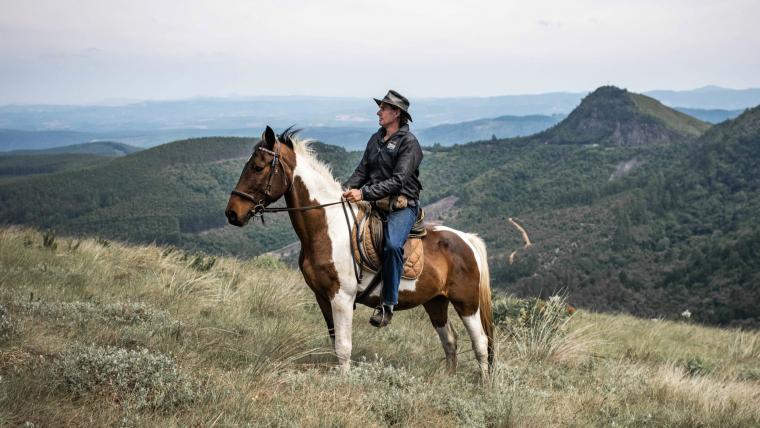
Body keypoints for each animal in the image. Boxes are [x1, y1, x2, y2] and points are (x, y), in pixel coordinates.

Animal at [224, 125, 498, 380]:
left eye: (258, 167)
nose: (232, 213)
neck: (327, 226)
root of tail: (467, 240)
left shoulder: (342, 296)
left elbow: (344, 346)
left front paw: (344, 382)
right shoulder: (322, 297)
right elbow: (334, 341)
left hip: (467, 303)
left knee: (481, 343)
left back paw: (484, 386)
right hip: (436, 302)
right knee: (450, 340)